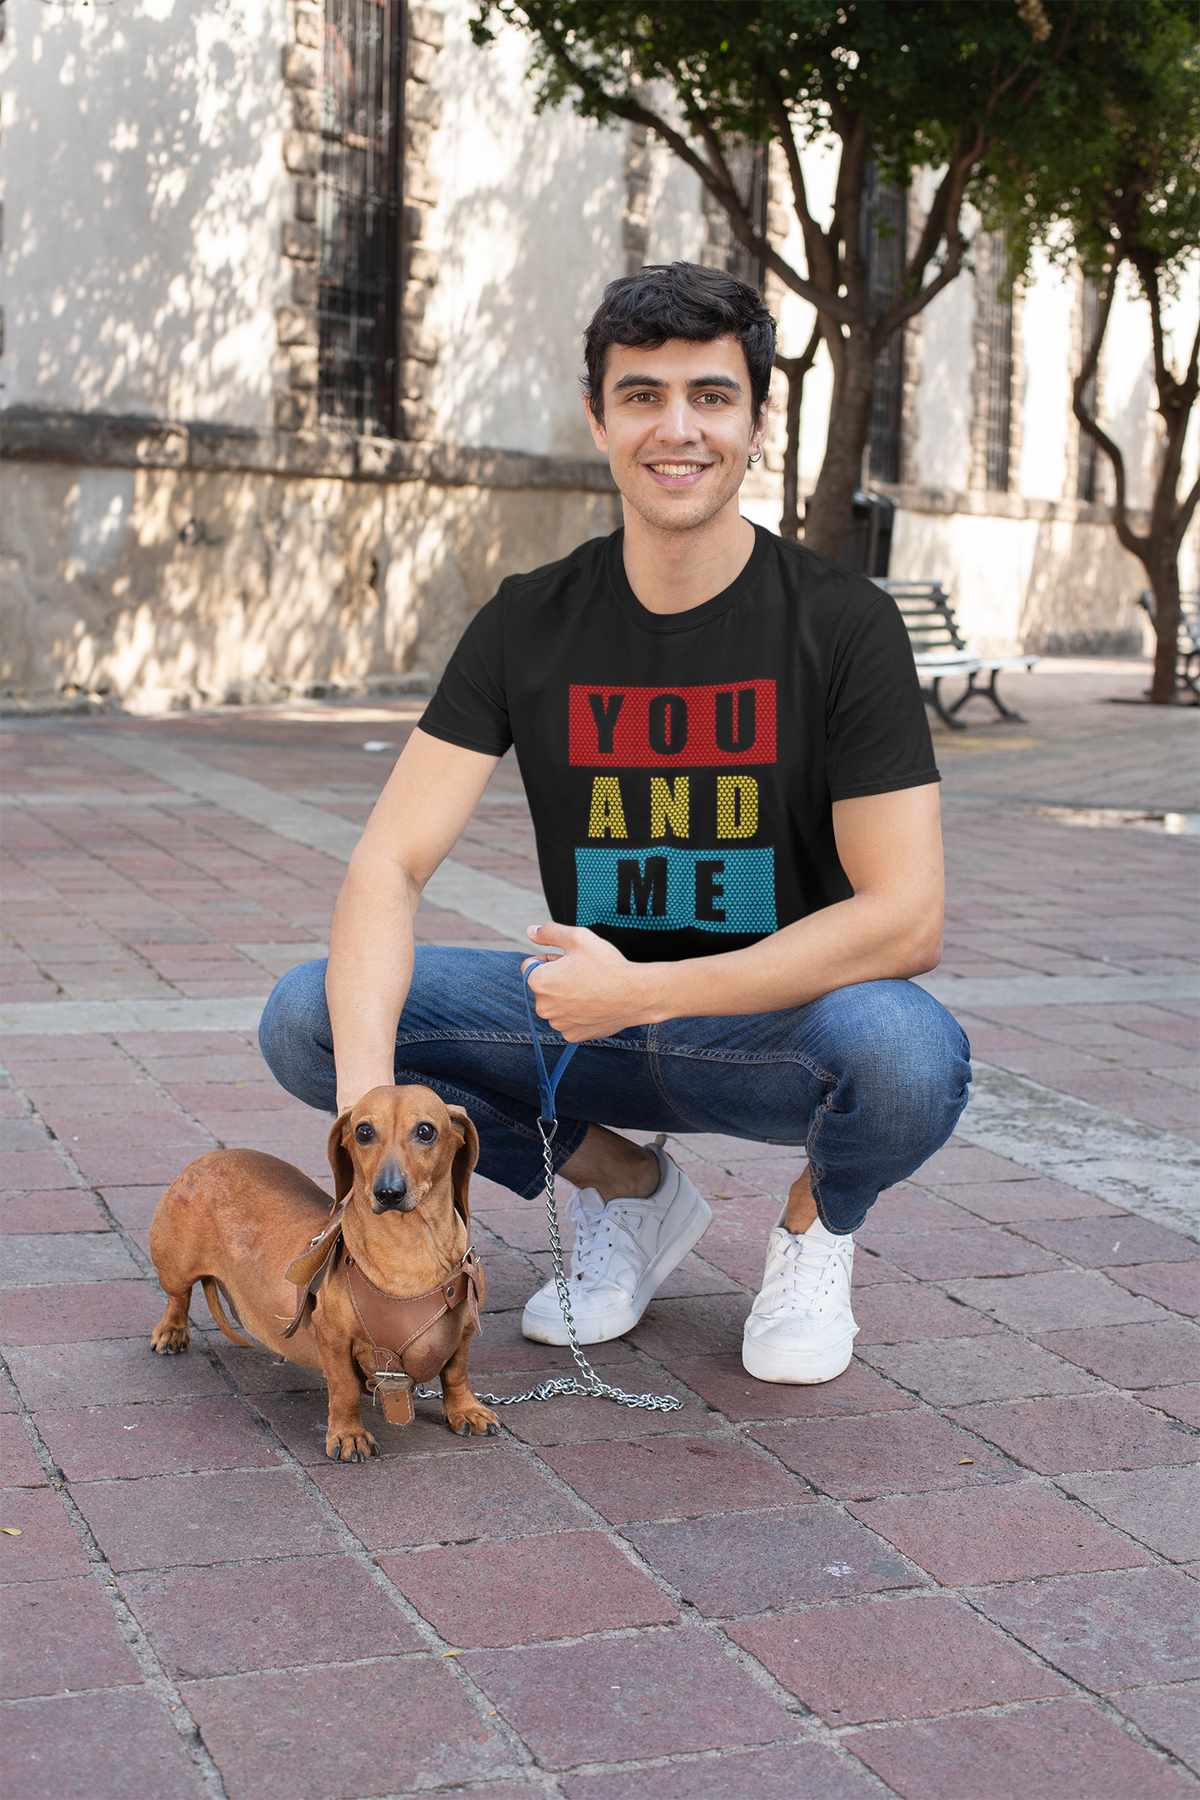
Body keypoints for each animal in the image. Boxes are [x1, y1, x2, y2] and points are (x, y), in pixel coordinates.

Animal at [148, 1085, 499, 1460]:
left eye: (426, 1131)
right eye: (363, 1131)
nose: (388, 1192)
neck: (408, 1250)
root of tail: (207, 1159)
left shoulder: (464, 1331)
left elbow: (456, 1374)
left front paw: (466, 1410)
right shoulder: (332, 1336)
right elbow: (344, 1389)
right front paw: (349, 1435)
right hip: (176, 1267)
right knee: (178, 1297)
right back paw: (171, 1332)